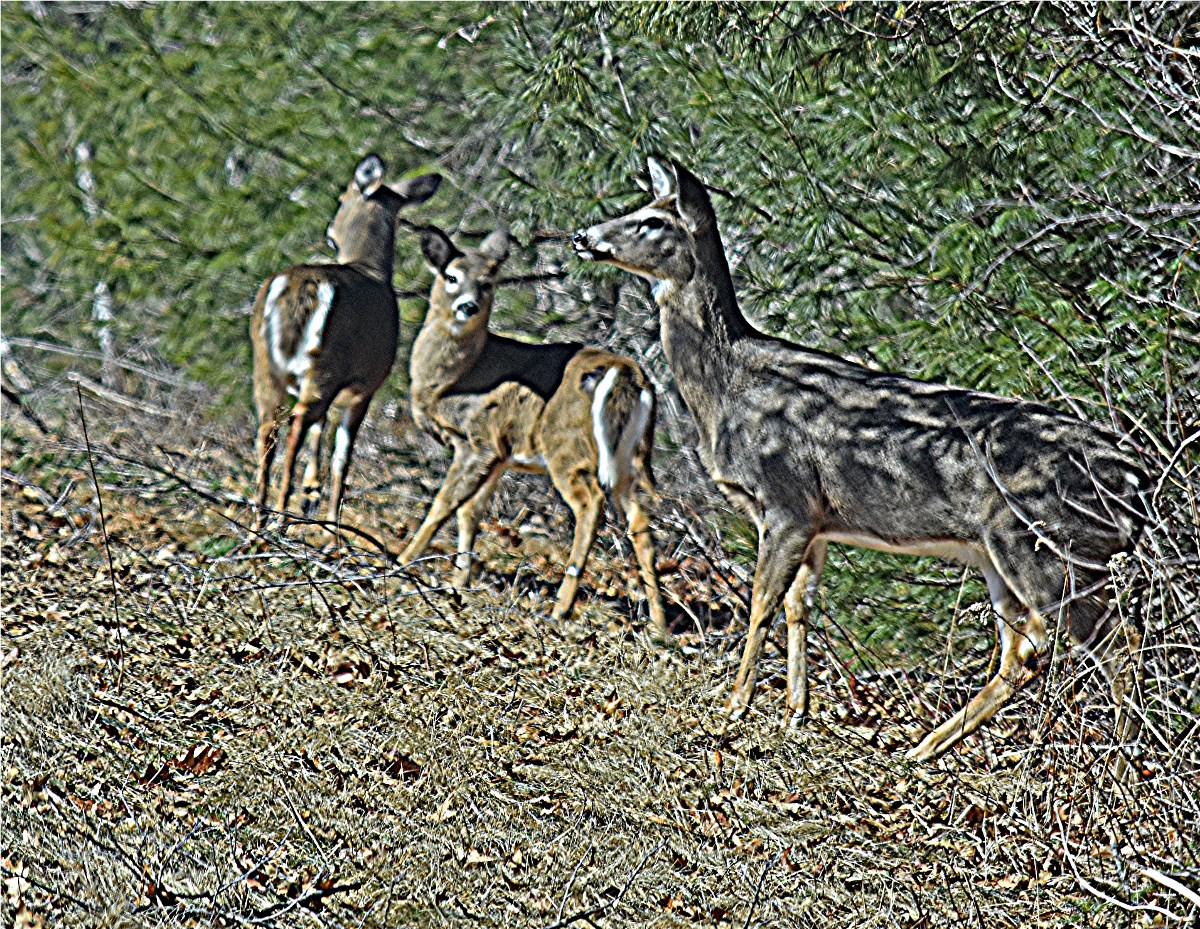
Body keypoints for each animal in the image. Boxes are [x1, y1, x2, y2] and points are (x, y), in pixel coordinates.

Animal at [250, 154, 441, 529]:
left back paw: (258, 523)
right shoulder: (365, 387)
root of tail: (300, 289)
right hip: (325, 365)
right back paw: (279, 518)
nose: (329, 233)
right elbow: (342, 456)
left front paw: (310, 493)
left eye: (340, 199)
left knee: (269, 428)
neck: (371, 268)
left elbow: (320, 435)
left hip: (267, 366)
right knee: (295, 424)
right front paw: (331, 528)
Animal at [398, 225, 669, 640]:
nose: (468, 307)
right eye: (451, 277)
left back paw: (561, 607)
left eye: (487, 281)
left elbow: (444, 504)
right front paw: (460, 581)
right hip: (628, 456)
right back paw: (659, 625)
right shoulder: (499, 453)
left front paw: (400, 562)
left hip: (567, 447)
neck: (451, 382)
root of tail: (626, 372)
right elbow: (471, 511)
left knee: (590, 506)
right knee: (640, 519)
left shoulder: (477, 441)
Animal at [572, 157, 1147, 772]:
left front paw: (732, 708)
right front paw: (794, 714)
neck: (727, 388)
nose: (583, 237)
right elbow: (798, 605)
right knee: (1027, 649)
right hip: (1003, 551)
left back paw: (1124, 757)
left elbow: (760, 603)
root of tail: (1133, 477)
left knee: (1107, 640)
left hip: (1044, 543)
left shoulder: (785, 500)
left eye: (652, 220)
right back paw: (923, 749)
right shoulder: (814, 520)